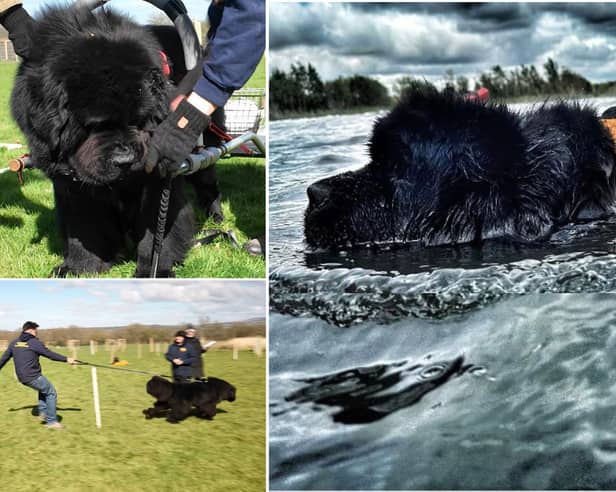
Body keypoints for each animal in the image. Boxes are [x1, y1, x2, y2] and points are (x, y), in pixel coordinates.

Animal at [11, 4, 221, 276]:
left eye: (138, 120)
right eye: (94, 125)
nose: (125, 160)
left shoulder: (156, 177)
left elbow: (157, 229)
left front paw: (155, 270)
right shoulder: (72, 184)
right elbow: (84, 229)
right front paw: (80, 267)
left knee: (206, 178)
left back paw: (216, 216)